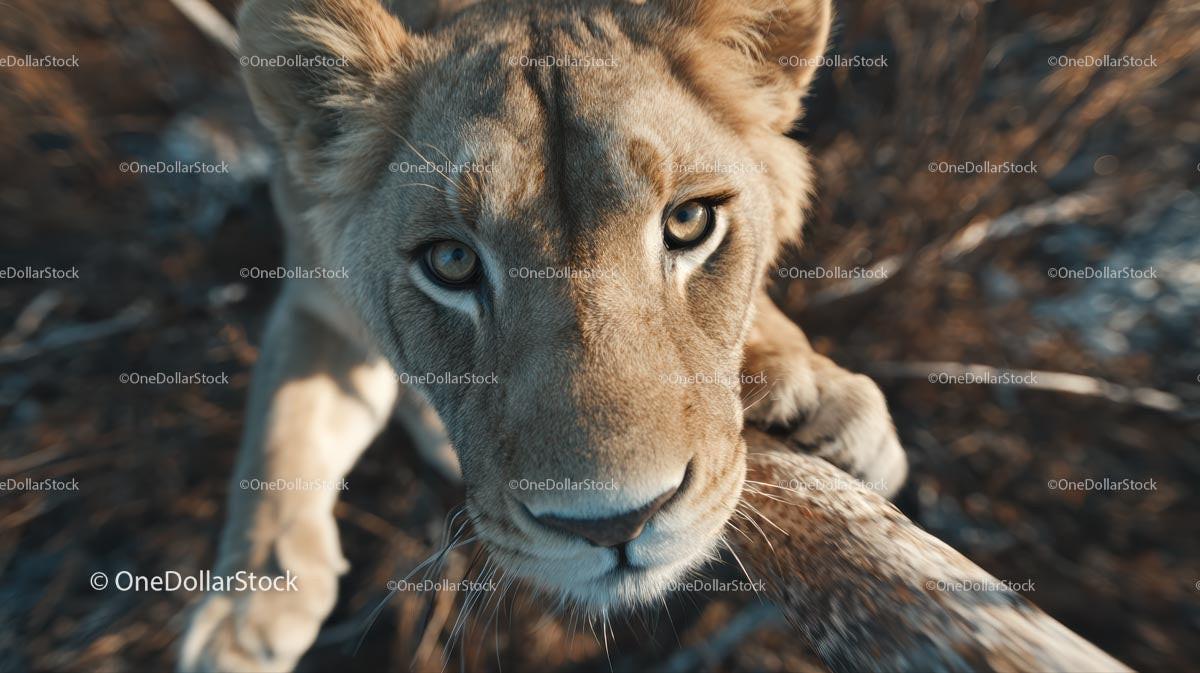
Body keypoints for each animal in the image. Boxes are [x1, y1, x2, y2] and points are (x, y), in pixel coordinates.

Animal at [179, 0, 907, 670]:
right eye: (451, 261)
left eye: (690, 220)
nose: (615, 525)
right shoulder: (313, 294)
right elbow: (278, 434)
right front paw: (243, 612)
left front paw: (813, 390)